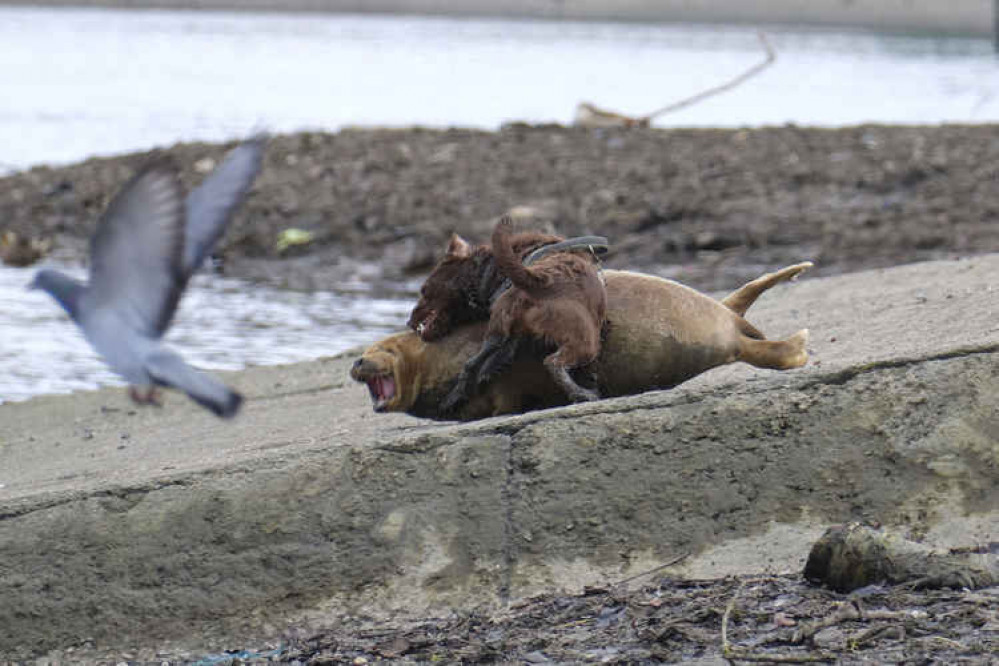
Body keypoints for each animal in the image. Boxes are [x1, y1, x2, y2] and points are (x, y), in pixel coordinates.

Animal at [354, 262, 812, 418]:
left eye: (379, 350)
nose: (356, 362)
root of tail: (733, 323)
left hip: (725, 329)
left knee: (749, 329)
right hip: (725, 327)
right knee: (744, 316)